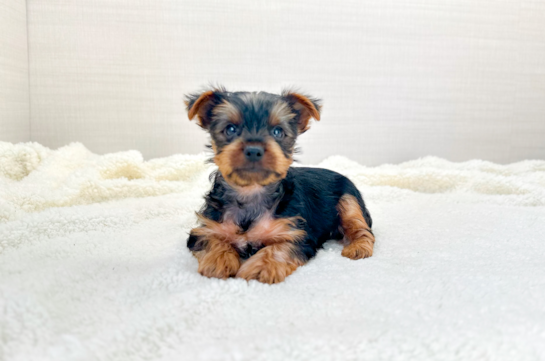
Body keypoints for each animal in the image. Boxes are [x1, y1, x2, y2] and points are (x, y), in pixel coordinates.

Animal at [184, 86, 374, 282]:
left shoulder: (298, 234)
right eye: (230, 129)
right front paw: (219, 260)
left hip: (348, 198)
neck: (251, 191)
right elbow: (211, 240)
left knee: (360, 227)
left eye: (277, 132)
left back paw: (358, 247)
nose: (254, 150)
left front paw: (261, 267)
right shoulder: (205, 229)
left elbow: (280, 248)